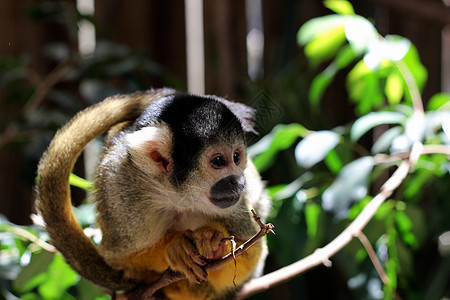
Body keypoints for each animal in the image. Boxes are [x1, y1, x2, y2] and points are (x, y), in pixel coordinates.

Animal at [36, 88, 270, 298]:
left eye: (237, 157)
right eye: (219, 161)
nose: (238, 181)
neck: (179, 196)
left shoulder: (236, 205)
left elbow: (252, 255)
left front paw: (214, 243)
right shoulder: (121, 192)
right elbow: (117, 258)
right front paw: (174, 248)